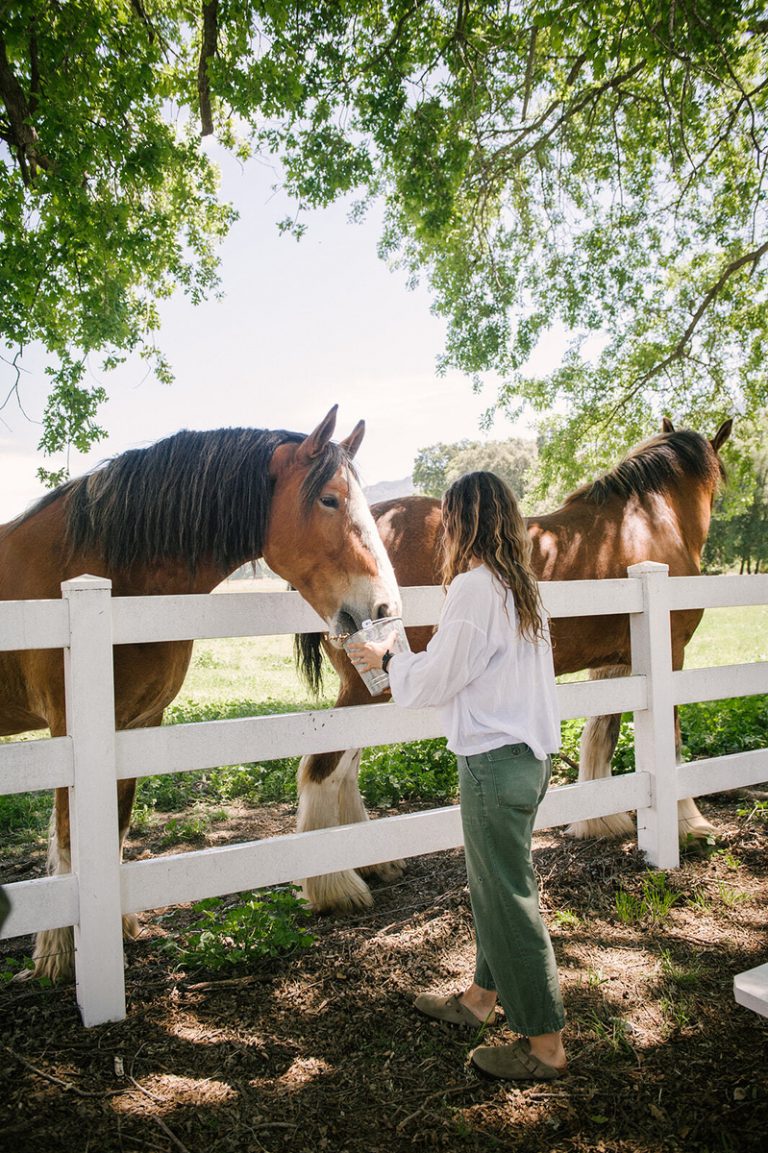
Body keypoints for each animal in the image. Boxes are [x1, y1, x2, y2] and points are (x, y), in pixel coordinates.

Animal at [2, 408, 401, 982]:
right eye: (329, 499)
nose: (385, 609)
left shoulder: (135, 723)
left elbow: (115, 826)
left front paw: (117, 930)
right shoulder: (69, 730)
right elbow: (71, 835)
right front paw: (59, 954)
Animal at [292, 419, 728, 913]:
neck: (647, 521)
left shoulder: (619, 667)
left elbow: (601, 736)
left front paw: (602, 822)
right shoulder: (669, 654)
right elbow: (670, 743)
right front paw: (690, 825)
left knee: (344, 769)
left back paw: (373, 864)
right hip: (364, 689)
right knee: (323, 769)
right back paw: (336, 887)